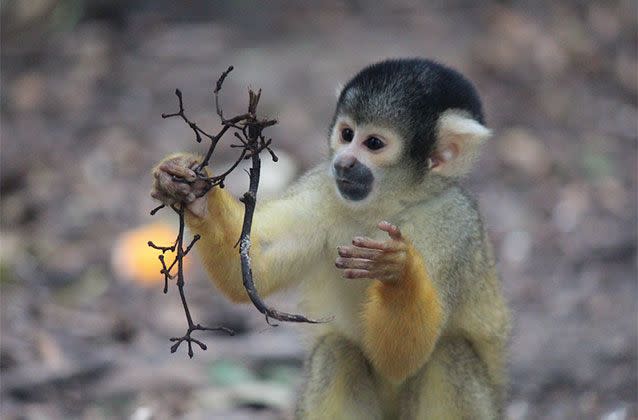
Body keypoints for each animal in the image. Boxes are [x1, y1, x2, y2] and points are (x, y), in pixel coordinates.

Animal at [150, 59, 510, 420]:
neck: (389, 205)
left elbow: (403, 358)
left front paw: (397, 271)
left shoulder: (451, 223)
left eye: (373, 143)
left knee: (449, 355)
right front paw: (194, 190)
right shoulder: (323, 188)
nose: (344, 162)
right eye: (347, 134)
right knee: (335, 353)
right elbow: (256, 270)